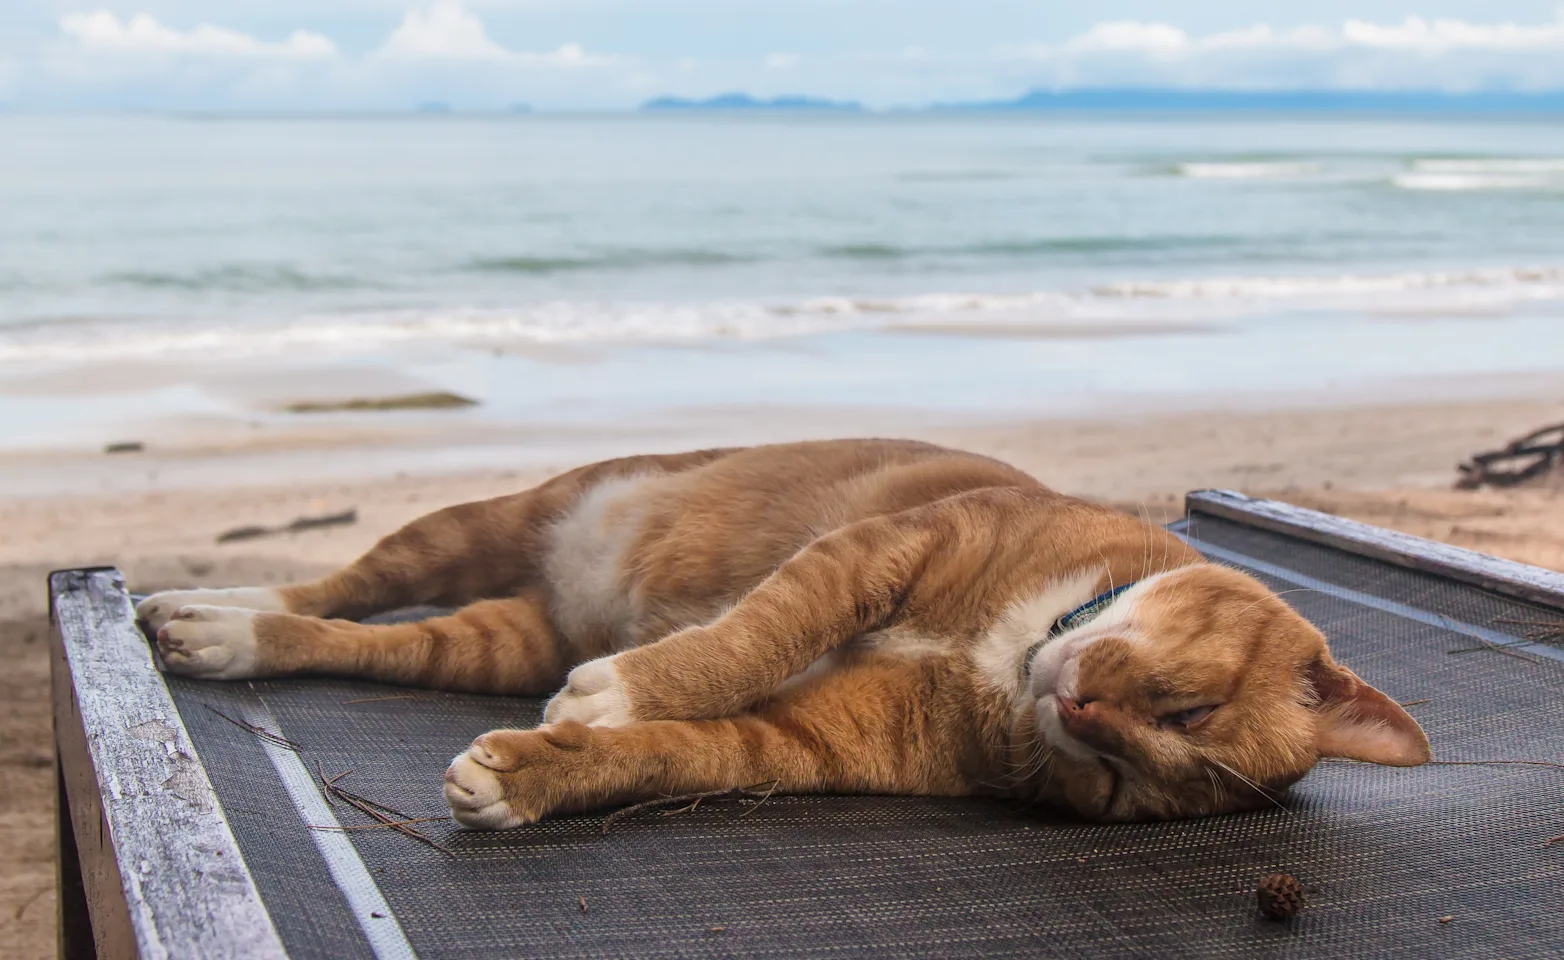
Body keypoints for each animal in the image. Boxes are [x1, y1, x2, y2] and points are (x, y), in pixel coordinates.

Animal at [134, 440, 1432, 825]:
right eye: (1187, 706)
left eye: (1126, 784)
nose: (1077, 710)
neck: (1009, 654)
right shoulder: (875, 555)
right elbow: (747, 639)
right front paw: (633, 687)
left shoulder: (808, 744)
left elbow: (684, 753)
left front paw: (541, 772)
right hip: (472, 526)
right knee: (341, 584)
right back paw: (220, 611)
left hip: (497, 640)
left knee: (373, 640)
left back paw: (225, 633)